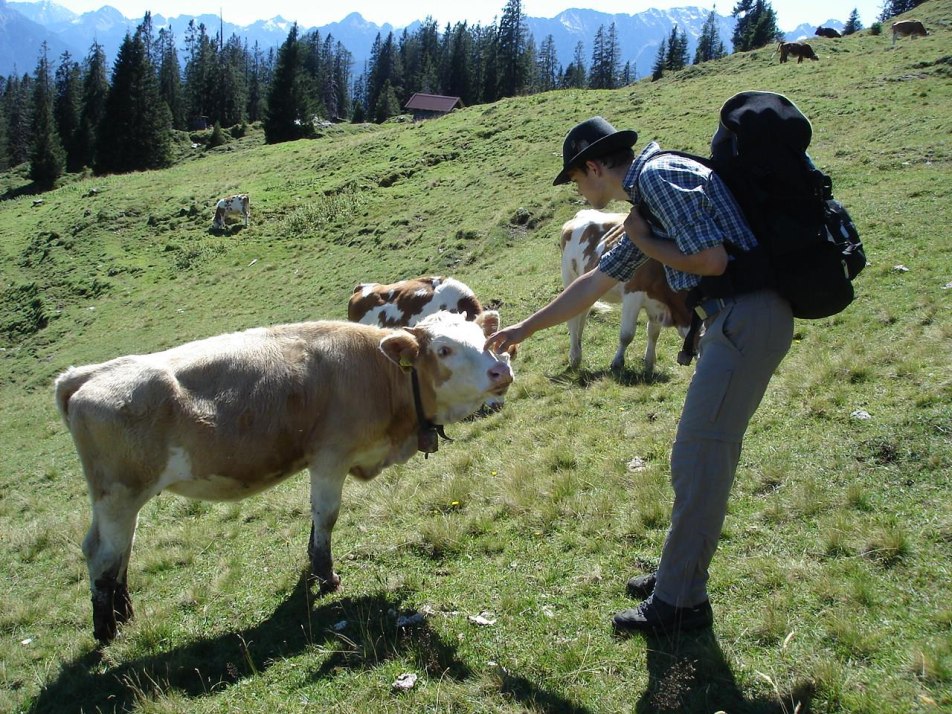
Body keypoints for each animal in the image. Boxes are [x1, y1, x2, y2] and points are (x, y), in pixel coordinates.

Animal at [52, 310, 512, 640]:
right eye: (445, 349)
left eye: (483, 339)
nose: (501, 370)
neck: (379, 374)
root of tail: (88, 373)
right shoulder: (330, 458)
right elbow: (327, 516)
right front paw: (327, 576)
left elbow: (314, 521)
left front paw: (312, 565)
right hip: (118, 494)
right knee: (102, 553)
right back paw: (106, 630)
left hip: (123, 500)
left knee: (119, 550)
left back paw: (124, 614)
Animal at [556, 207, 692, 370]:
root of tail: (583, 212)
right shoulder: (632, 295)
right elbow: (627, 335)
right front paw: (617, 362)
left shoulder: (656, 304)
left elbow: (653, 332)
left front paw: (649, 362)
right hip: (568, 276)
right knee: (572, 318)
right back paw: (574, 356)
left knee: (582, 314)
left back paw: (578, 347)